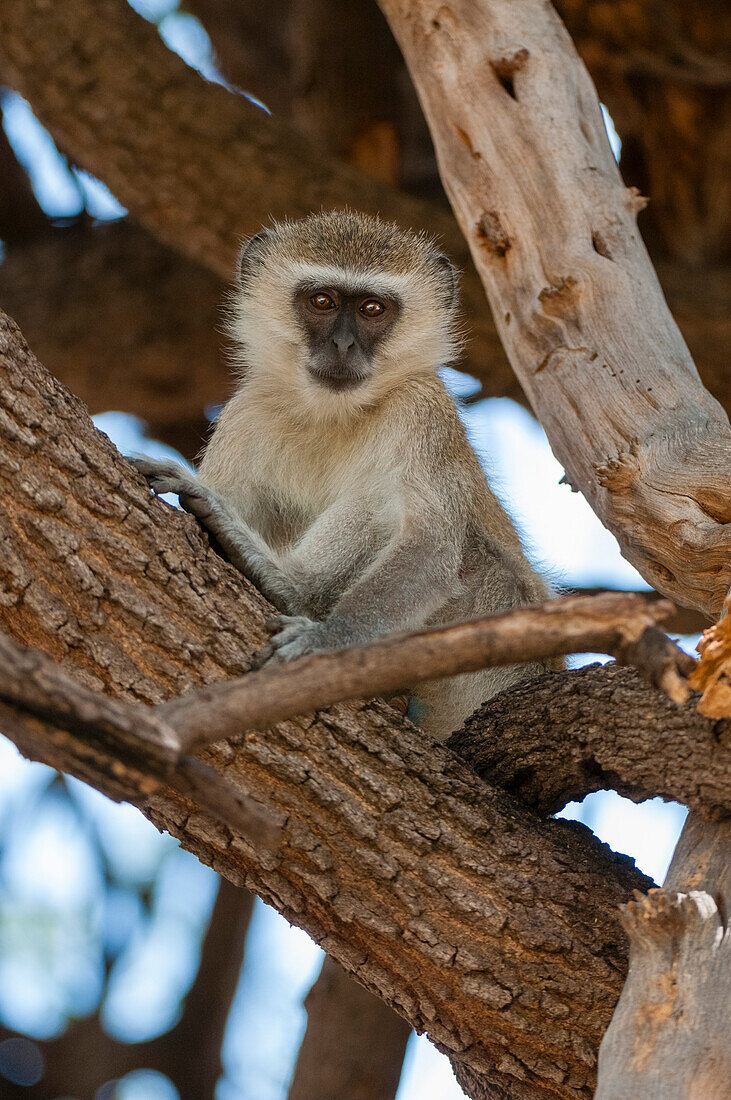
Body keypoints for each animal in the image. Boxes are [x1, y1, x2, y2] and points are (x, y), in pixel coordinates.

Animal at [134, 207, 549, 739]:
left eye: (372, 309)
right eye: (322, 301)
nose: (343, 345)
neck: (332, 415)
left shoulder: (421, 409)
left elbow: (429, 552)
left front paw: (327, 642)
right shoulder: (245, 412)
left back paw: (289, 586)